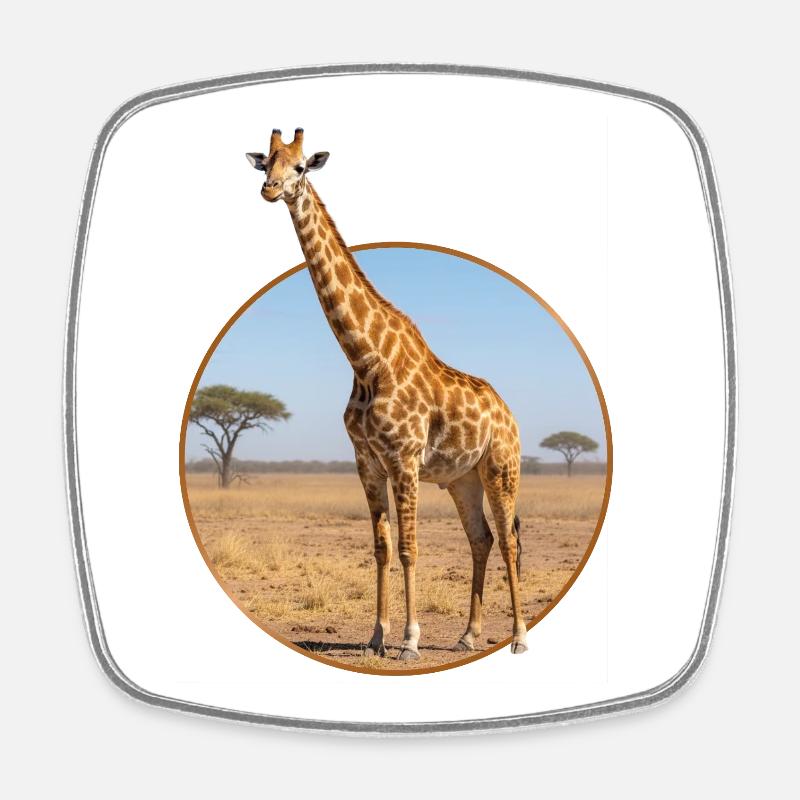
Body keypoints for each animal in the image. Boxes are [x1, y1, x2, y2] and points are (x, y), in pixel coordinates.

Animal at [246, 129, 527, 660]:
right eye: (266, 163)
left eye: (301, 168)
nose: (269, 191)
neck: (365, 359)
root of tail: (510, 415)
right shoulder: (367, 463)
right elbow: (380, 548)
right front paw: (377, 636)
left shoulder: (404, 460)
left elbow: (409, 548)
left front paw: (410, 641)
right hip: (462, 478)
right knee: (480, 539)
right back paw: (467, 635)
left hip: (501, 468)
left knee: (507, 541)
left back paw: (519, 638)